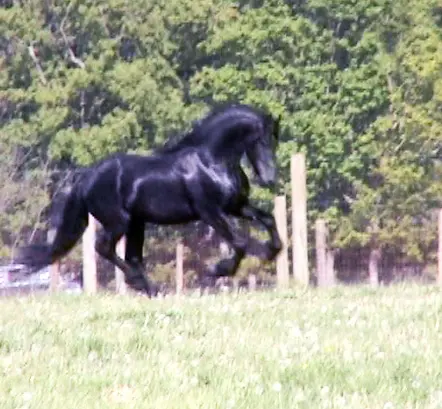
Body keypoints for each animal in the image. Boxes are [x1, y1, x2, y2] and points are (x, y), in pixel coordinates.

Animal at [17, 101, 282, 294]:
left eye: (274, 141)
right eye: (260, 139)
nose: (270, 178)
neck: (211, 161)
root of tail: (87, 177)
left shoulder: (236, 206)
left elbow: (268, 220)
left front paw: (271, 252)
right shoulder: (211, 212)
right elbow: (240, 242)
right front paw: (219, 269)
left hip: (137, 223)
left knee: (131, 256)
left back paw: (148, 288)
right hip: (119, 222)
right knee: (104, 247)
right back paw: (141, 284)